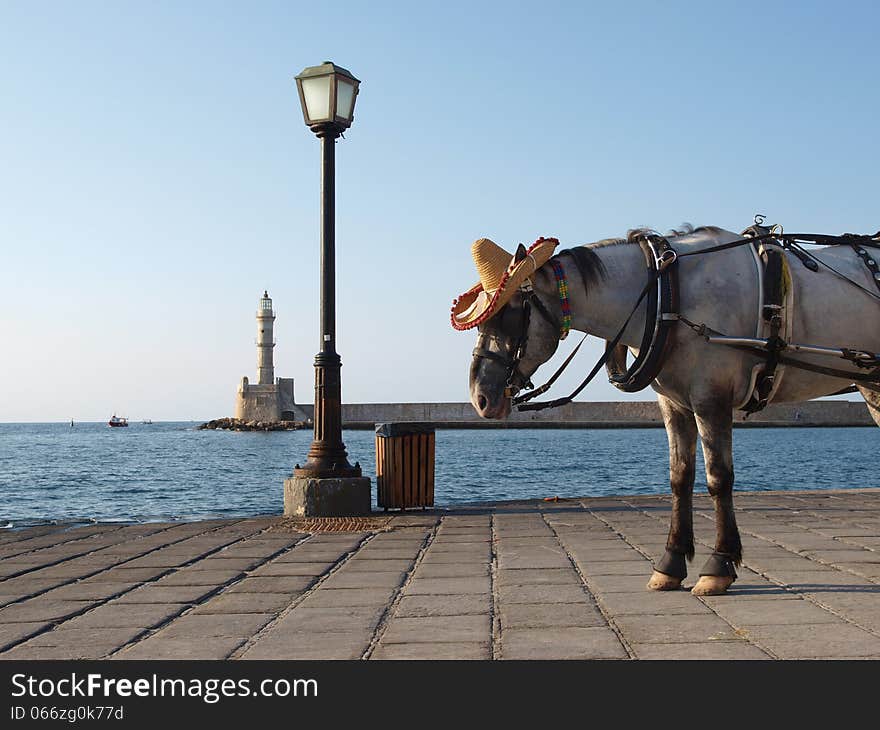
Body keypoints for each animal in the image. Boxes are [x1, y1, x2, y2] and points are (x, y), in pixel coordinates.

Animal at [464, 225, 876, 596]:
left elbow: (717, 478)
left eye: (510, 314)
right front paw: (671, 563)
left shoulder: (711, 398)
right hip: (872, 385)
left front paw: (719, 566)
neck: (667, 296)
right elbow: (679, 477)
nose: (479, 396)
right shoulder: (675, 404)